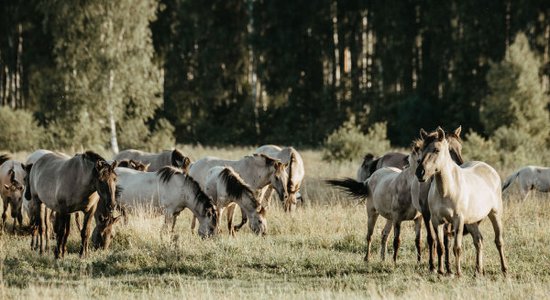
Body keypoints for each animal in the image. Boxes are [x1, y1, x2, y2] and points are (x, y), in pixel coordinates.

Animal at [418, 126, 508, 276]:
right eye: (422, 150)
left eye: (436, 150)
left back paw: (504, 269)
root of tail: (489, 169)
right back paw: (478, 271)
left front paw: (458, 273)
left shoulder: (458, 220)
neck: (446, 190)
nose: (420, 172)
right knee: (478, 240)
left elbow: (456, 247)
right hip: (471, 221)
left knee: (499, 241)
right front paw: (441, 271)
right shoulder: (436, 220)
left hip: (495, 214)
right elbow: (441, 246)